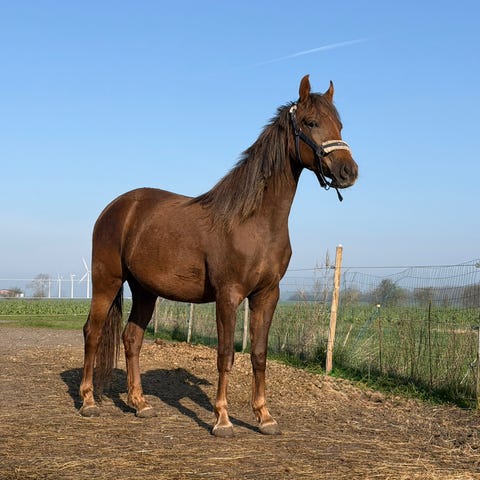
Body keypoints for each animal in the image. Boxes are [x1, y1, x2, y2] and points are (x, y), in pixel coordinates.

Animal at [79, 75, 358, 437]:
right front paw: (223, 420)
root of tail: (116, 207)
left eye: (339, 124)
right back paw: (88, 401)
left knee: (131, 339)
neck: (253, 221)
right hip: (107, 281)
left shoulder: (267, 295)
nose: (348, 171)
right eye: (311, 122)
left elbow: (258, 355)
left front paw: (264, 417)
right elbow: (225, 355)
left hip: (145, 291)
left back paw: (140, 404)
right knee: (93, 333)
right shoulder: (229, 295)